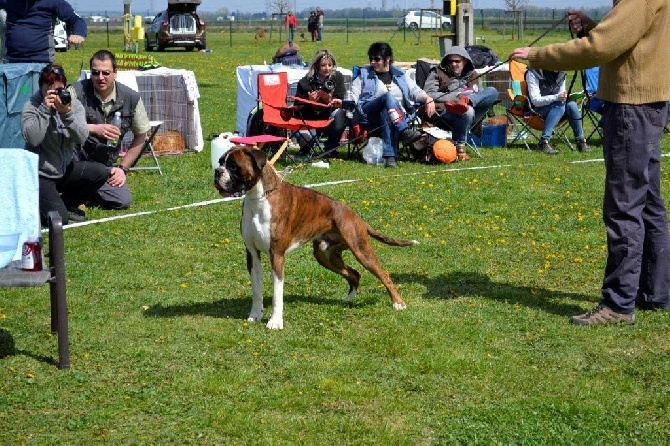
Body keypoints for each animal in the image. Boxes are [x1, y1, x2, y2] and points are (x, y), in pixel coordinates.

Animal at [215, 145, 418, 328]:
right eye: (220, 162)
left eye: (233, 166)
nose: (217, 172)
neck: (259, 198)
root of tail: (355, 216)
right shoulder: (252, 254)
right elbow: (257, 290)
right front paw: (255, 315)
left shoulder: (277, 255)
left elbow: (277, 293)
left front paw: (275, 322)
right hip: (325, 255)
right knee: (354, 273)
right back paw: (348, 298)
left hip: (360, 250)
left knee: (383, 274)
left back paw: (398, 303)